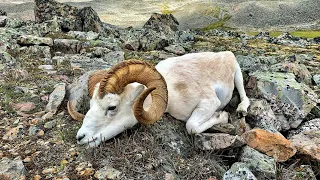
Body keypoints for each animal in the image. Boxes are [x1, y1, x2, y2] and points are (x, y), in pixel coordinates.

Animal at [69, 50, 251, 146]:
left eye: (112, 107)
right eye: (91, 104)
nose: (80, 137)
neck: (174, 91)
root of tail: (225, 54)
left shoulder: (210, 102)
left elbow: (191, 126)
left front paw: (223, 116)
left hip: (238, 75)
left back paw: (241, 109)